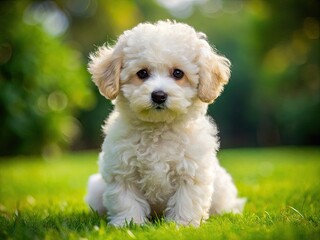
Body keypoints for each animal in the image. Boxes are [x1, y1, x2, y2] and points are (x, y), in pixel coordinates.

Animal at [85, 20, 245, 227]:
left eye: (178, 73)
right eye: (142, 73)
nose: (159, 95)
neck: (159, 129)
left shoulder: (191, 170)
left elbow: (187, 199)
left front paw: (183, 224)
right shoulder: (122, 170)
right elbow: (126, 200)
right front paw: (128, 224)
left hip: (222, 188)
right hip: (97, 189)